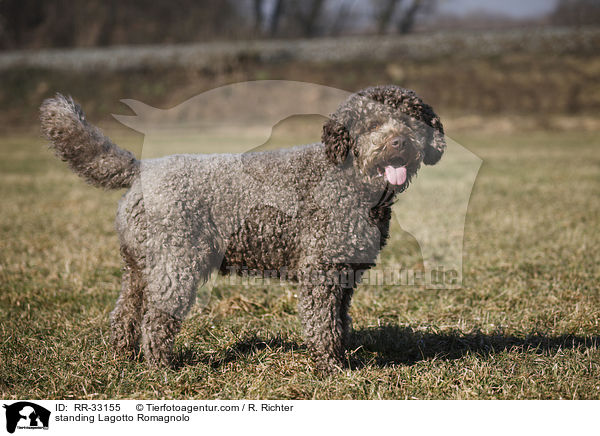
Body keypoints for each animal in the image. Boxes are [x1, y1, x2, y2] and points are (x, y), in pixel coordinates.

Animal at [39, 86, 446, 372]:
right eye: (373, 124)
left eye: (412, 122)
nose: (399, 142)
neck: (347, 177)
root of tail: (142, 169)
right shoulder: (321, 271)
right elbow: (323, 324)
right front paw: (330, 368)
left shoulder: (344, 274)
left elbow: (340, 322)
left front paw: (342, 357)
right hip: (176, 263)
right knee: (156, 319)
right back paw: (162, 368)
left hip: (139, 266)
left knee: (125, 312)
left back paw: (126, 358)